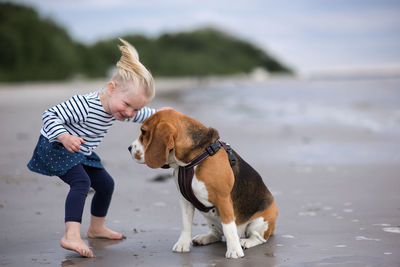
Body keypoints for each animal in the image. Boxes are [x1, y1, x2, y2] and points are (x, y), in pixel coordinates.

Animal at [129, 110, 278, 258]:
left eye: (144, 132)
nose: (129, 148)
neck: (191, 161)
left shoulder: (223, 200)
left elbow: (229, 228)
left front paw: (234, 251)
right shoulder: (185, 200)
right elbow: (186, 223)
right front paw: (183, 244)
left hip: (260, 222)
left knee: (259, 238)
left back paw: (246, 242)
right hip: (211, 221)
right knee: (217, 234)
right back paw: (205, 238)